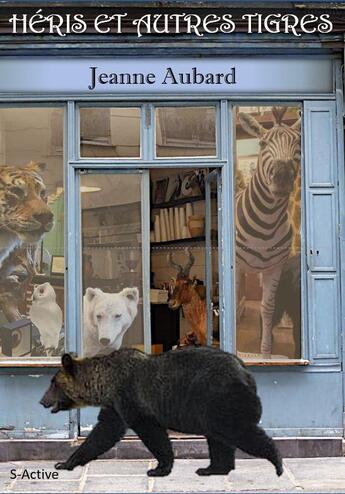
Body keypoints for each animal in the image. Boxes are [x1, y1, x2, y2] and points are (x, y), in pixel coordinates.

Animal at [40, 346, 282, 476]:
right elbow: (102, 434)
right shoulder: (115, 406)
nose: (42, 401)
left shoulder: (131, 398)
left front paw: (159, 468)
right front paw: (65, 462)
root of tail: (248, 374)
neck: (105, 385)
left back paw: (277, 462)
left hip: (220, 399)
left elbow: (151, 432)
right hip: (214, 408)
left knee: (236, 431)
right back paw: (212, 468)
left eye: (53, 383)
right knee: (219, 438)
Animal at [235, 107, 300, 356]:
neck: (267, 222)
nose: (282, 177)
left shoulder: (276, 267)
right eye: (262, 144)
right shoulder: (235, 266)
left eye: (298, 143)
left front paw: (265, 354)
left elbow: (268, 308)